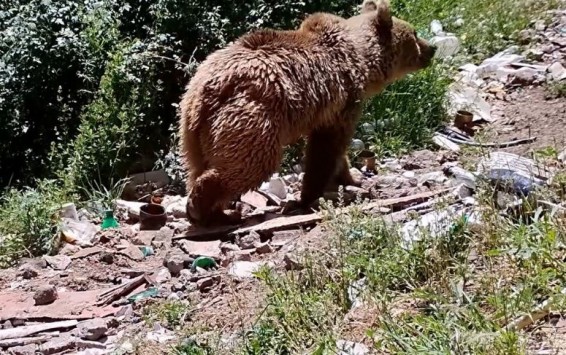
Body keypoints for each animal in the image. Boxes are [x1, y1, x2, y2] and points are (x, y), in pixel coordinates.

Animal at [180, 0, 438, 227]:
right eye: (414, 33)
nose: (432, 48)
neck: (363, 60)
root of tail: (207, 88)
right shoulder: (342, 100)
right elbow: (326, 147)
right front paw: (313, 195)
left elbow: (336, 150)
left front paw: (350, 179)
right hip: (253, 114)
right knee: (251, 163)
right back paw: (203, 207)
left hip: (193, 129)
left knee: (197, 165)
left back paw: (218, 213)